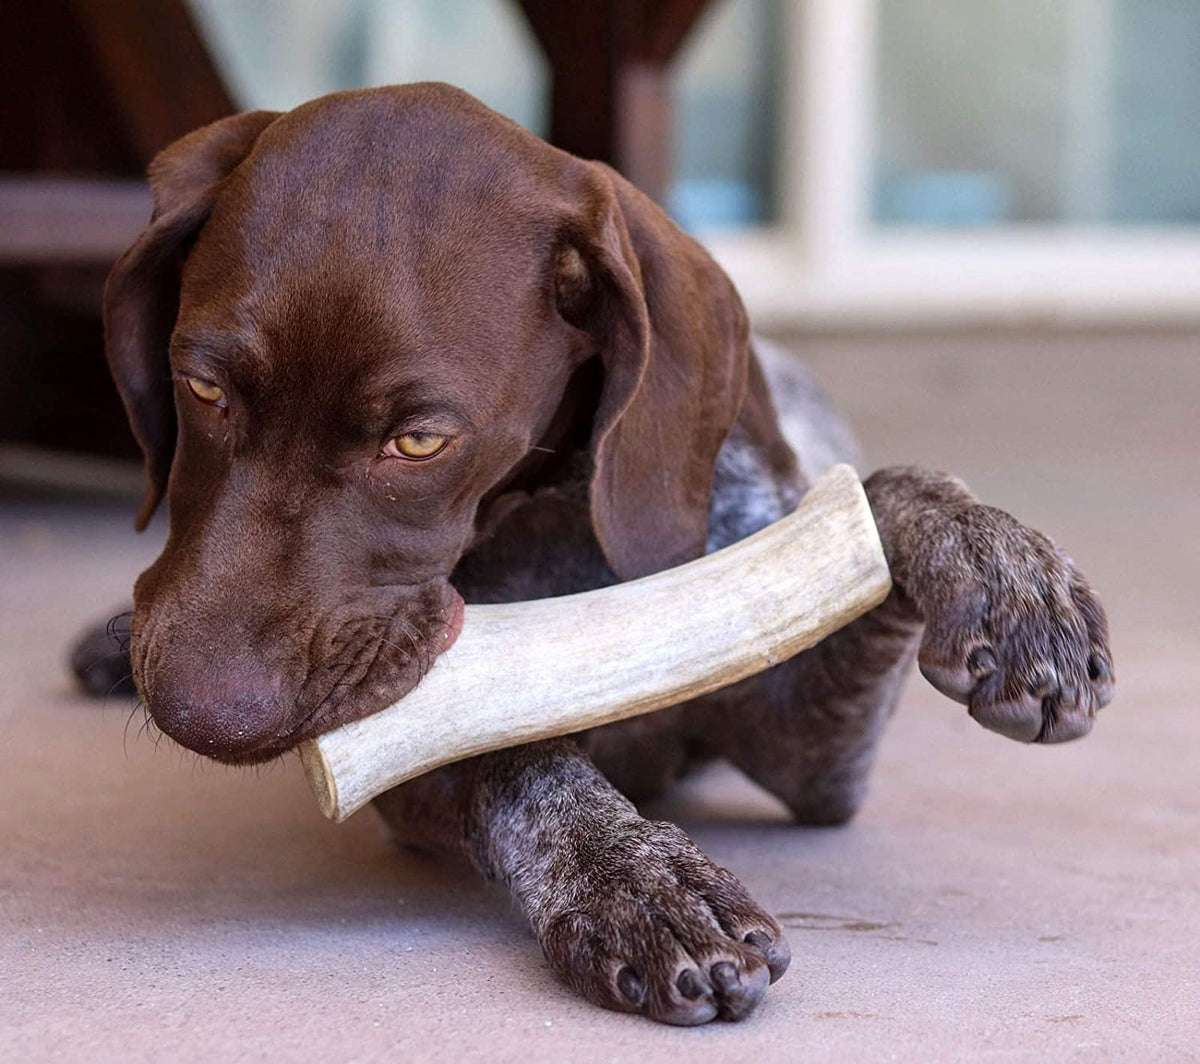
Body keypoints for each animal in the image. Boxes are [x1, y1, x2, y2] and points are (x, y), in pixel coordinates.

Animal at [79, 83, 1113, 1022]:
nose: (202, 716)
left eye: (419, 443)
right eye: (202, 387)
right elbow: (512, 759)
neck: (553, 515)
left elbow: (879, 494)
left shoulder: (816, 760)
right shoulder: (409, 752)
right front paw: (636, 878)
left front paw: (1001, 567)